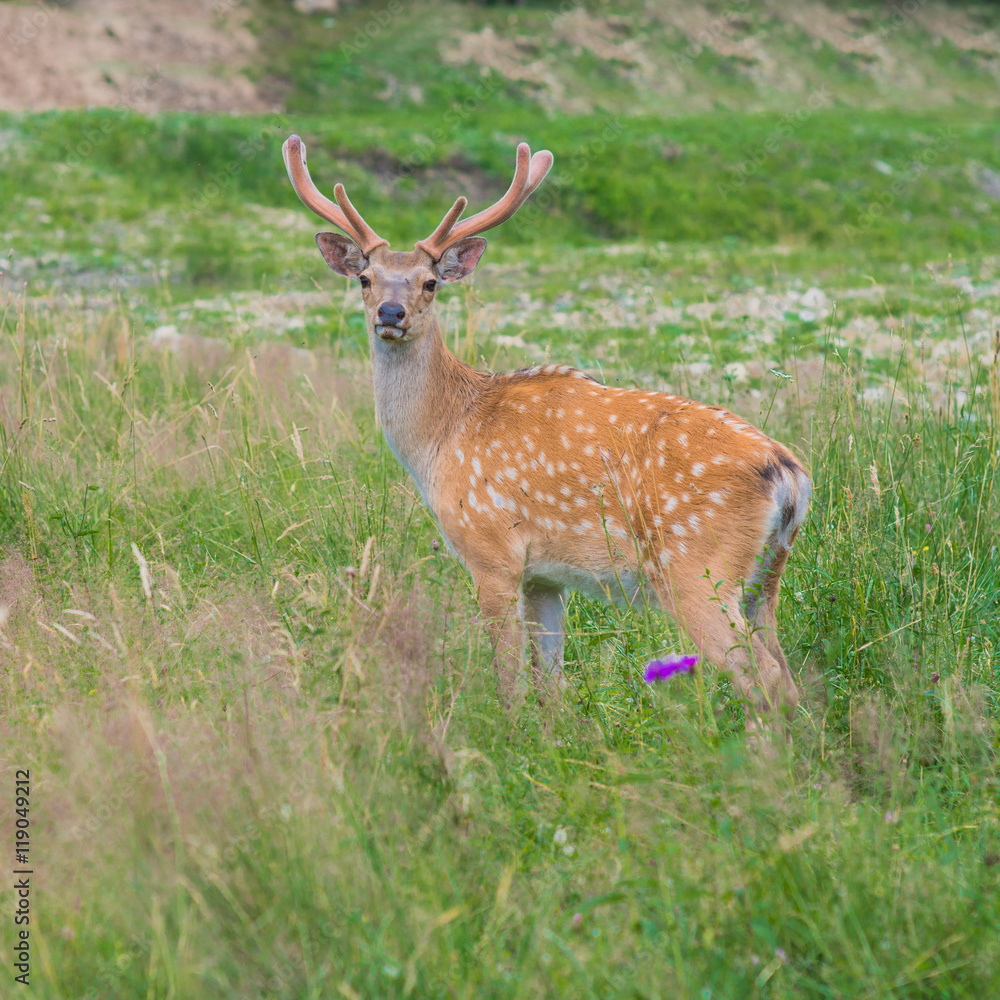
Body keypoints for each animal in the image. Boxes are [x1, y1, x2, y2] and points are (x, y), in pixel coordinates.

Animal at [282, 135, 812, 728]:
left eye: (431, 282)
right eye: (365, 279)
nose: (391, 313)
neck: (442, 437)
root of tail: (790, 475)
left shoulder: (491, 551)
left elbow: (509, 676)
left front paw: (509, 737)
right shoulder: (545, 576)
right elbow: (551, 682)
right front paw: (554, 737)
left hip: (697, 569)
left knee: (763, 677)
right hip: (766, 575)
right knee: (786, 671)